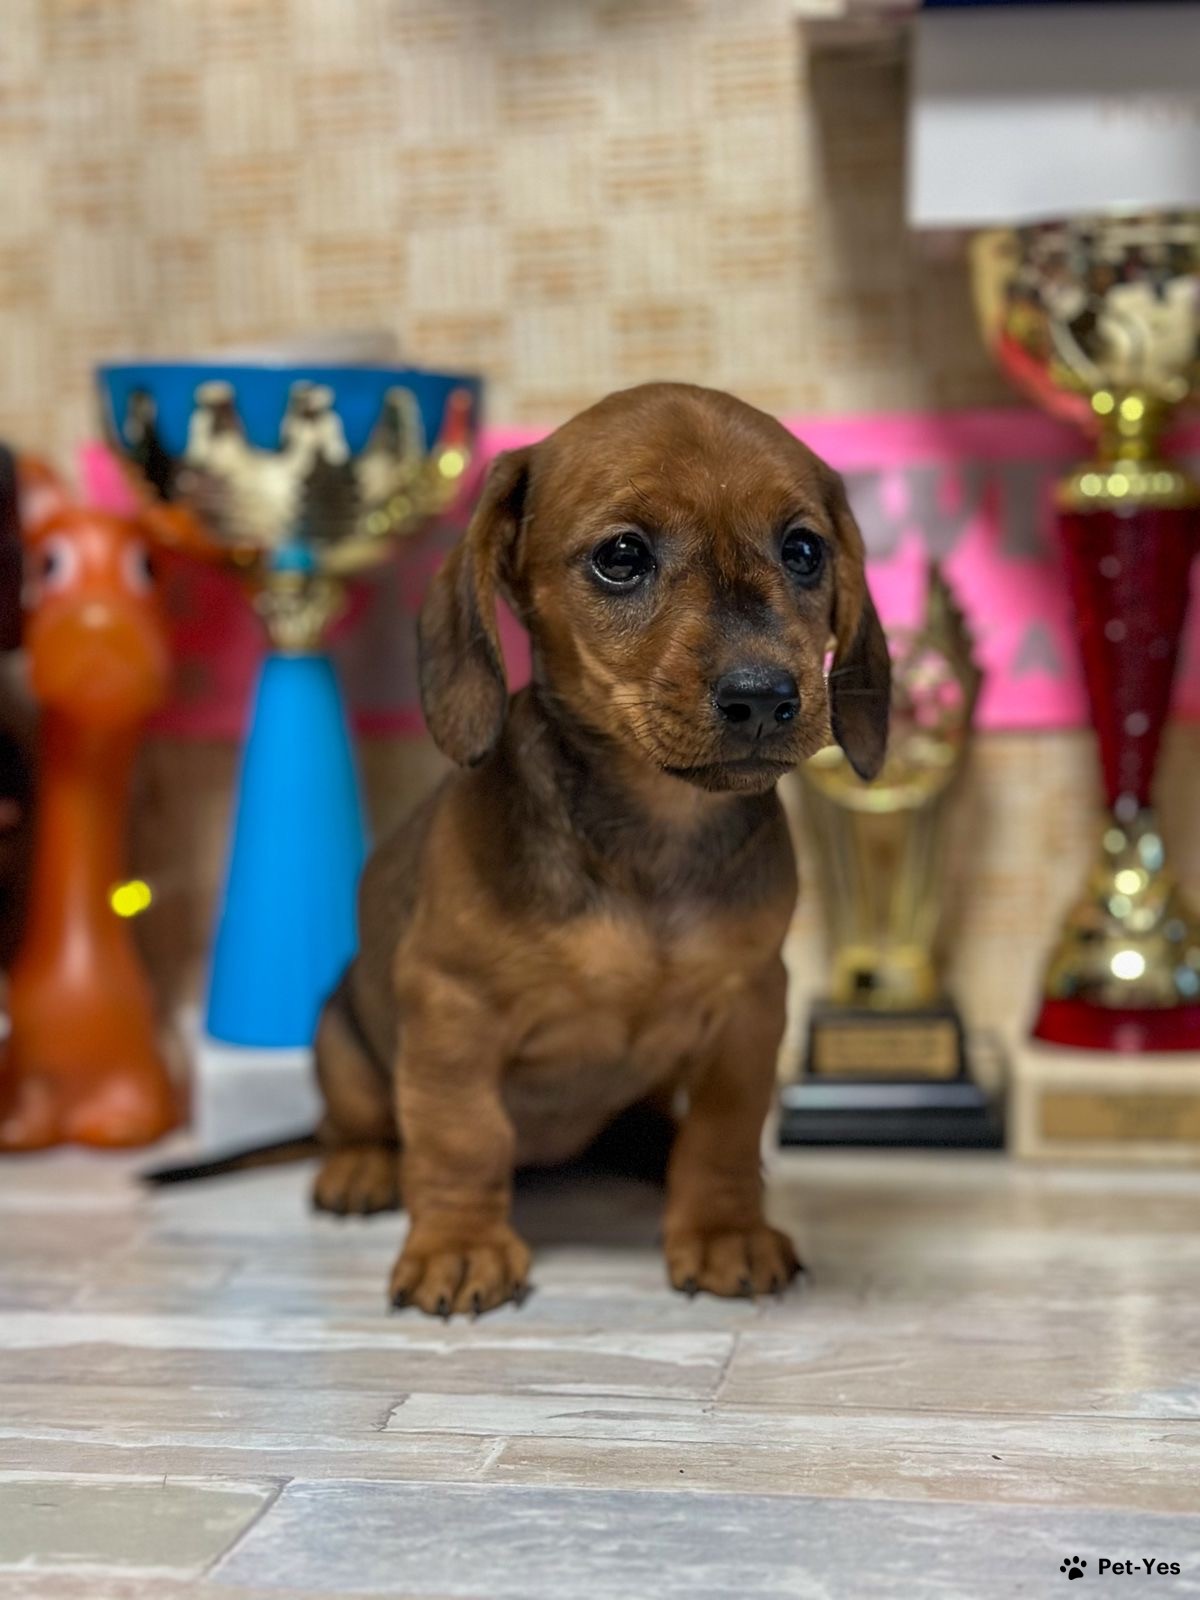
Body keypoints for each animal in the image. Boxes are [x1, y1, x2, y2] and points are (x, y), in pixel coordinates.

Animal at [312, 384, 896, 1312]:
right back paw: (362, 1166)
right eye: (622, 556)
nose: (764, 697)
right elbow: (460, 1136)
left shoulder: (750, 1008)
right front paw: (459, 1245)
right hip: (341, 1039)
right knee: (363, 1122)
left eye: (804, 550)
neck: (656, 834)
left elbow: (726, 1133)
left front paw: (723, 1228)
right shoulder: (450, 1010)